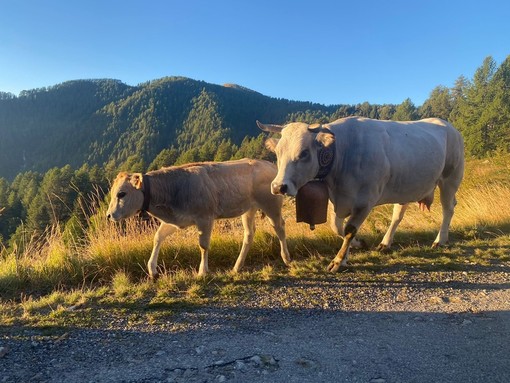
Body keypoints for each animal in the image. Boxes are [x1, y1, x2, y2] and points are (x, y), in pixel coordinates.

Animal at [104, 159, 290, 280]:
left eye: (121, 194)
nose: (108, 215)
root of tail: (269, 164)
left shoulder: (205, 218)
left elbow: (203, 245)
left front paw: (202, 272)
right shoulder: (176, 220)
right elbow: (158, 237)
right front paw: (152, 270)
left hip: (271, 204)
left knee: (279, 226)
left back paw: (286, 258)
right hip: (249, 208)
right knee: (249, 234)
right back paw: (237, 267)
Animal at [260, 117, 464, 272]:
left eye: (303, 153)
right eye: (277, 152)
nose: (278, 187)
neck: (342, 153)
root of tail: (448, 125)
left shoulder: (366, 201)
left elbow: (349, 229)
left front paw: (338, 261)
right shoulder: (339, 200)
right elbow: (337, 227)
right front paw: (357, 246)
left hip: (450, 178)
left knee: (448, 209)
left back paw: (440, 240)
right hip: (406, 185)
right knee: (398, 214)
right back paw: (385, 243)